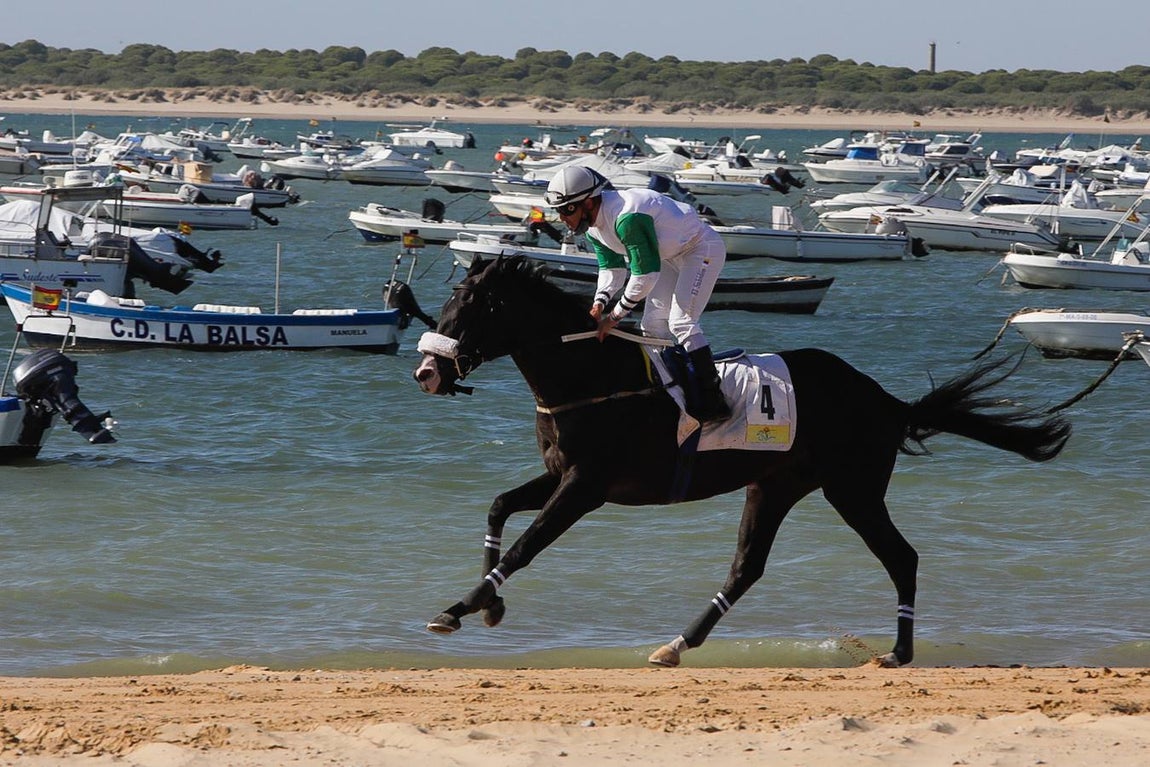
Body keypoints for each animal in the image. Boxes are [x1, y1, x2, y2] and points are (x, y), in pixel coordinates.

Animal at [411, 256, 1071, 668]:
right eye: (448, 301)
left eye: (470, 305)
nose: (427, 372)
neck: (592, 377)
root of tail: (884, 398)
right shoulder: (559, 474)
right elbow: (499, 506)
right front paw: (489, 605)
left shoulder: (586, 486)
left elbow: (527, 546)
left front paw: (458, 608)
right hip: (775, 486)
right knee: (747, 567)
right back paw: (677, 644)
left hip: (851, 489)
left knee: (900, 557)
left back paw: (898, 652)